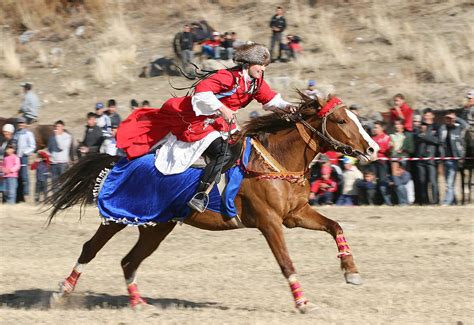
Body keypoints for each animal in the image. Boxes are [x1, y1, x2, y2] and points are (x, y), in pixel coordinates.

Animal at [46, 95, 380, 312]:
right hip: (116, 216)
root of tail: (121, 159)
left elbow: (335, 226)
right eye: (340, 120)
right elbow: (286, 262)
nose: (373, 148)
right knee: (90, 249)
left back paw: (138, 303)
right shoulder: (270, 223)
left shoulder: (295, 215)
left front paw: (351, 271)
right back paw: (62, 291)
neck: (278, 160)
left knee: (129, 261)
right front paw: (302, 302)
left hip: (156, 227)